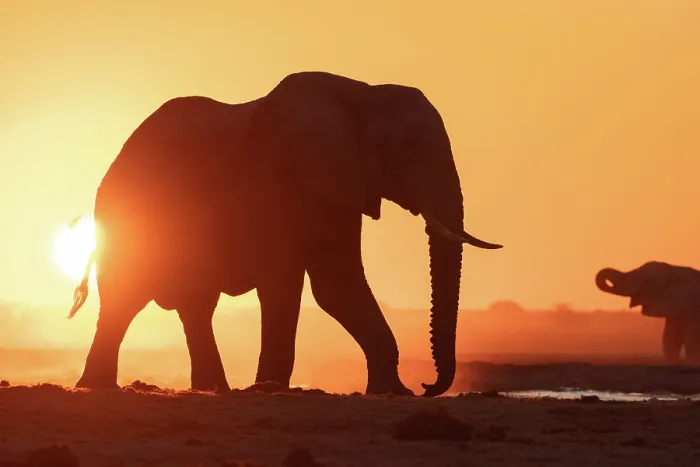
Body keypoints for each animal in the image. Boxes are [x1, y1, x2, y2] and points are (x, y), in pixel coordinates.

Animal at [67, 70, 503, 398]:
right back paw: (97, 388)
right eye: (408, 145)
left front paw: (392, 393)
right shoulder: (271, 187)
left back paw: (212, 391)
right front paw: (269, 389)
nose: (428, 386)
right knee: (125, 296)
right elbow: (283, 283)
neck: (361, 95)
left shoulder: (338, 187)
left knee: (195, 305)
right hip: (123, 219)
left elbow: (337, 286)